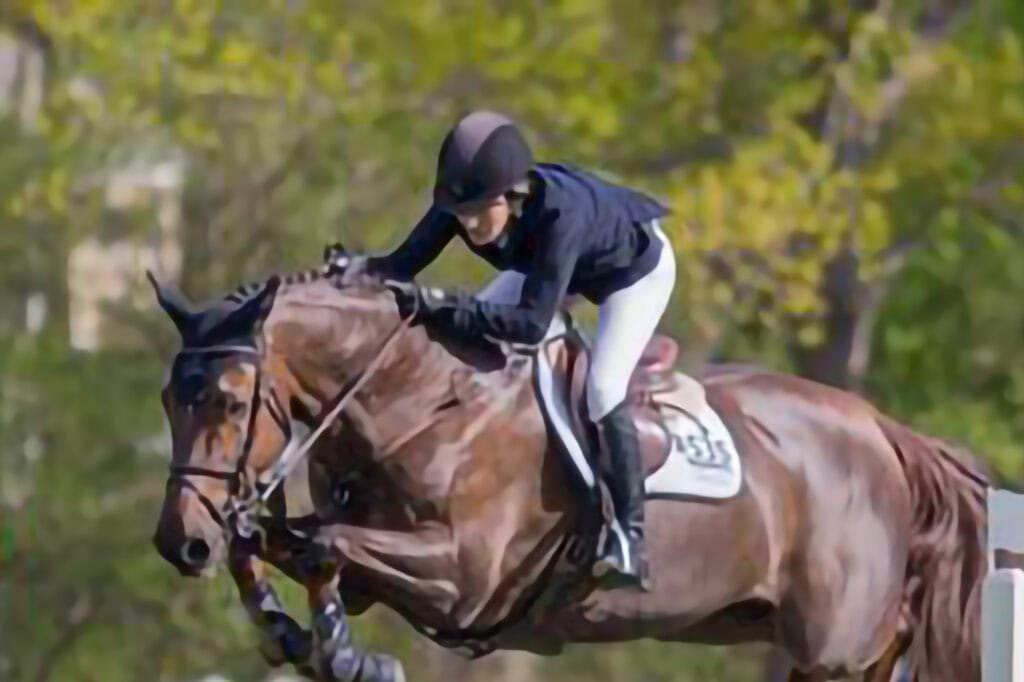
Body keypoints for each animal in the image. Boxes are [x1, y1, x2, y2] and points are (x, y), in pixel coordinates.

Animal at [149, 258, 988, 682]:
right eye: (167, 399)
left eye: (228, 400)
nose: (178, 543)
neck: (414, 394)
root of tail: (880, 428)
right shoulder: (370, 562)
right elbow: (273, 544)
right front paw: (291, 635)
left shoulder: (465, 579)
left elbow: (321, 545)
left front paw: (348, 657)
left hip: (835, 644)